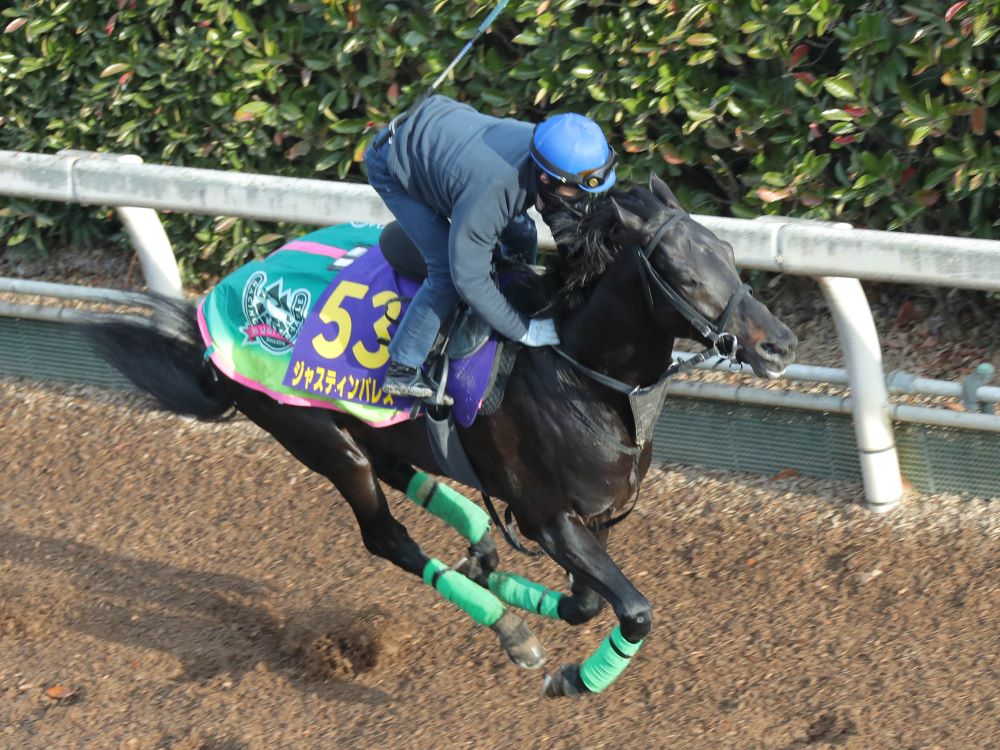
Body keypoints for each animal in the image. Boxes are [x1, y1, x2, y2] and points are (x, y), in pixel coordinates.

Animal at [90, 175, 800, 700]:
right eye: (680, 272)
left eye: (729, 253)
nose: (780, 344)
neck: (577, 374)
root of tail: (215, 315)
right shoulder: (548, 519)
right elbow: (633, 610)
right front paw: (571, 676)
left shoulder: (598, 519)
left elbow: (586, 605)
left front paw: (512, 585)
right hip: (317, 435)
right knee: (385, 535)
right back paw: (507, 627)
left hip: (378, 427)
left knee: (407, 475)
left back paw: (482, 554)